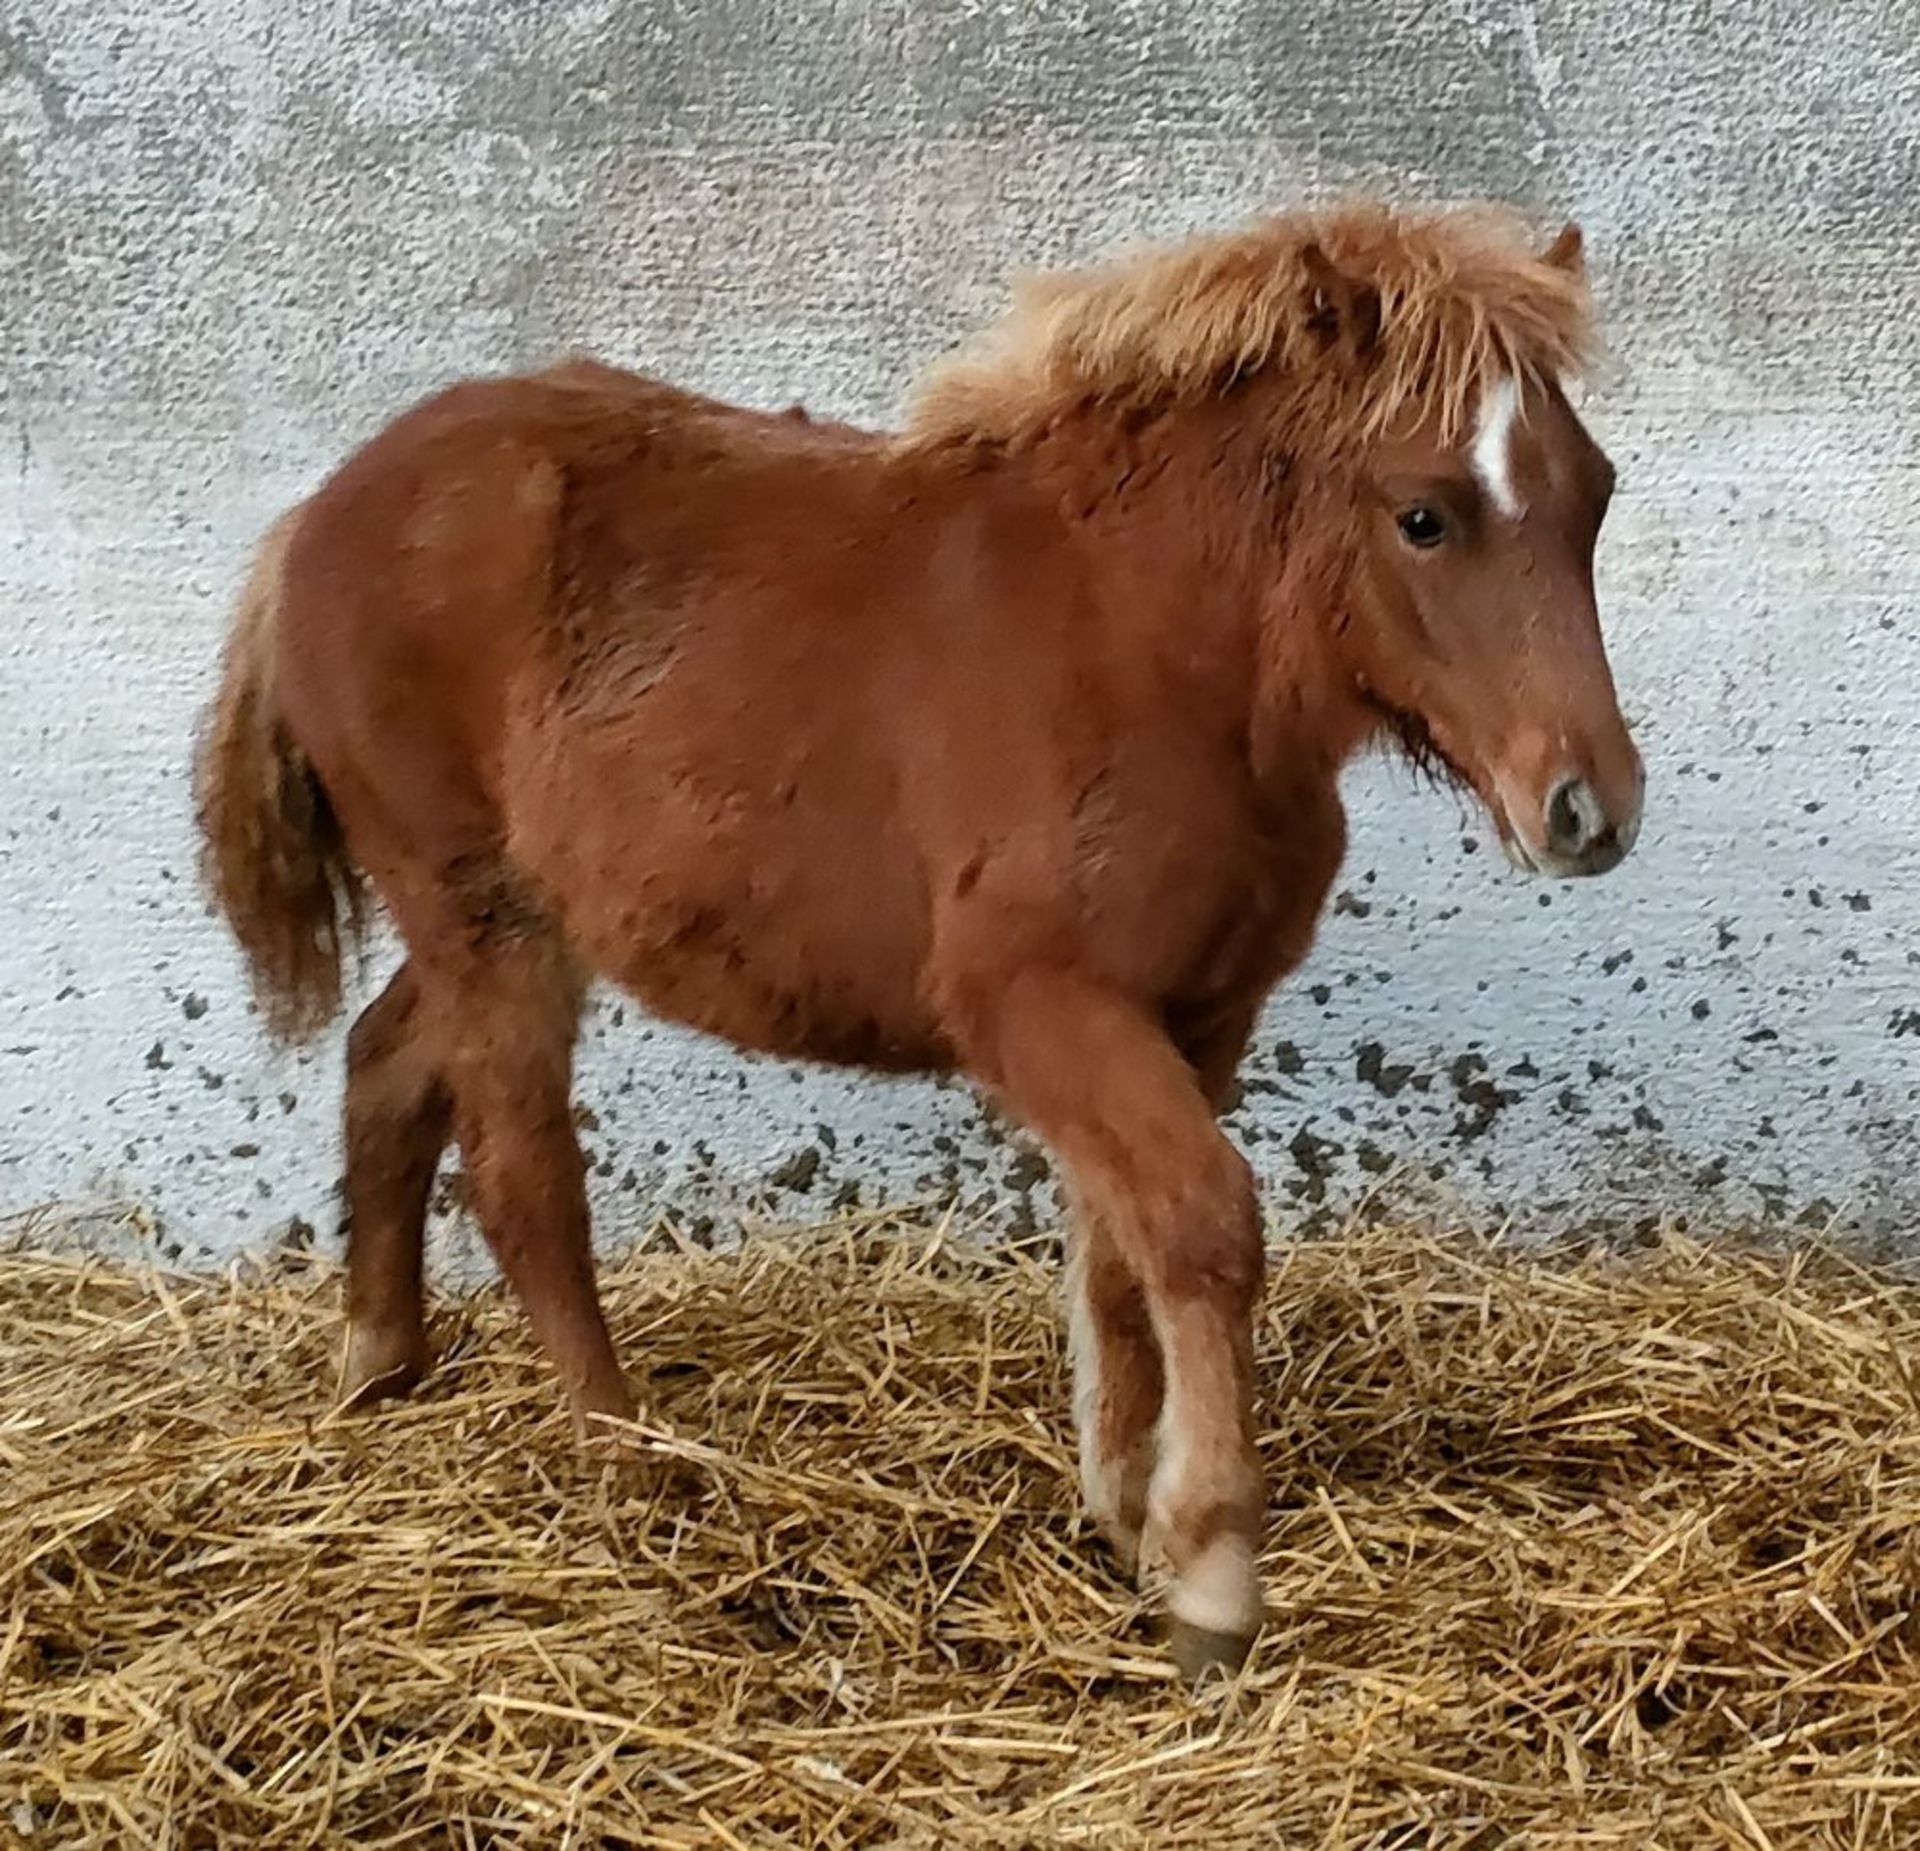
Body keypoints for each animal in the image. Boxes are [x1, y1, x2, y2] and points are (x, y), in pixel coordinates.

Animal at [198, 206, 1651, 1674]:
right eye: (1424, 514)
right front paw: (1211, 1571)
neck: (1146, 649)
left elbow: (1118, 1248)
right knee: (521, 1178)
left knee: (386, 1064)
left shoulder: (1199, 1010)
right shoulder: (1031, 999)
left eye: (1595, 493)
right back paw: (632, 1457)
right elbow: (1202, 1225)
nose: (1589, 809)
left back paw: (379, 1369)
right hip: (477, 909)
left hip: (509, 920)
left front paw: (1127, 1509)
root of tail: (312, 517)